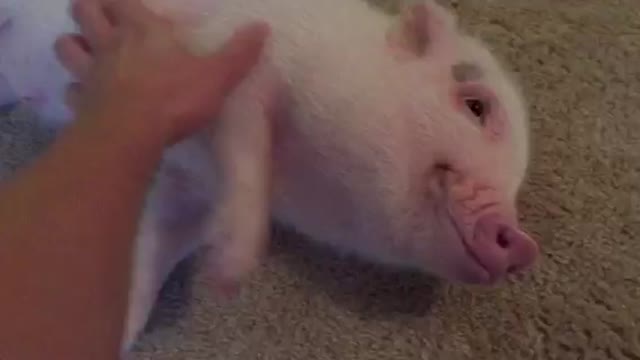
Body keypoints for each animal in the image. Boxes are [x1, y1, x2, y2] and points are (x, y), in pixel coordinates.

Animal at [0, 0, 540, 352]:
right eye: (475, 106)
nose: (522, 243)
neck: (299, 175)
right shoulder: (235, 53)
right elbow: (249, 129)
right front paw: (228, 275)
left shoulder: (190, 187)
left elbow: (152, 251)